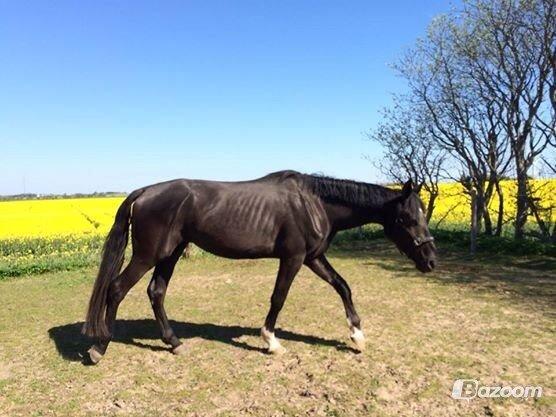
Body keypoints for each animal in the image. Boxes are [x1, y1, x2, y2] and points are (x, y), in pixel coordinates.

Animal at [83, 171, 434, 362]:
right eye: (407, 218)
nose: (431, 260)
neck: (314, 203)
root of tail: (144, 192)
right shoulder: (293, 258)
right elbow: (278, 298)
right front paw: (271, 341)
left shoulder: (313, 257)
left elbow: (342, 286)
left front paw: (357, 335)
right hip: (149, 255)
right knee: (117, 289)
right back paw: (100, 347)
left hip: (170, 254)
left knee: (156, 292)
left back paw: (175, 343)